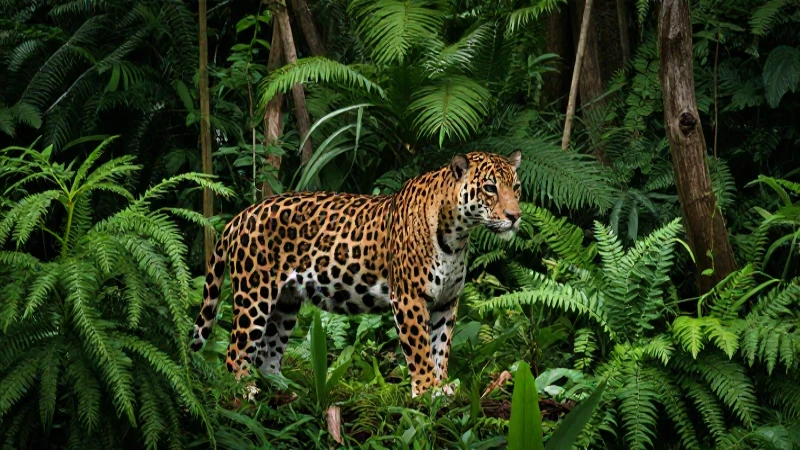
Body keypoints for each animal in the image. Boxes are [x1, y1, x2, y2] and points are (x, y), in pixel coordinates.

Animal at [190, 151, 523, 397]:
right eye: (490, 188)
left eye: (516, 188)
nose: (515, 216)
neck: (457, 236)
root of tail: (241, 216)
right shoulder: (409, 299)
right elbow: (420, 350)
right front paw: (427, 391)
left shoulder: (446, 302)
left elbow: (440, 347)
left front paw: (442, 386)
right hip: (255, 295)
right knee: (235, 351)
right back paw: (245, 392)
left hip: (285, 302)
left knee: (267, 354)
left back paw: (287, 391)